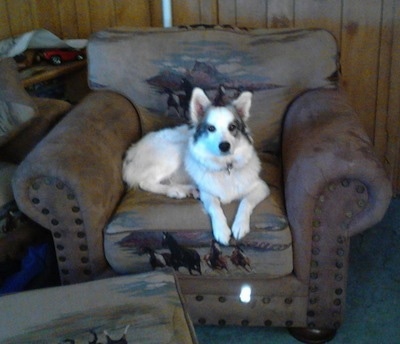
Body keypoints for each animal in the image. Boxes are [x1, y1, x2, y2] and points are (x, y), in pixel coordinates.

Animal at [123, 88, 270, 245]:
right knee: (145, 182)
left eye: (232, 127)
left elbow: (245, 202)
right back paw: (176, 191)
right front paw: (221, 229)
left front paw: (240, 225)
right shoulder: (207, 193)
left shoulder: (261, 187)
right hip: (173, 153)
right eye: (211, 128)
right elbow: (215, 207)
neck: (225, 166)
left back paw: (188, 189)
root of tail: (133, 150)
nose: (224, 146)